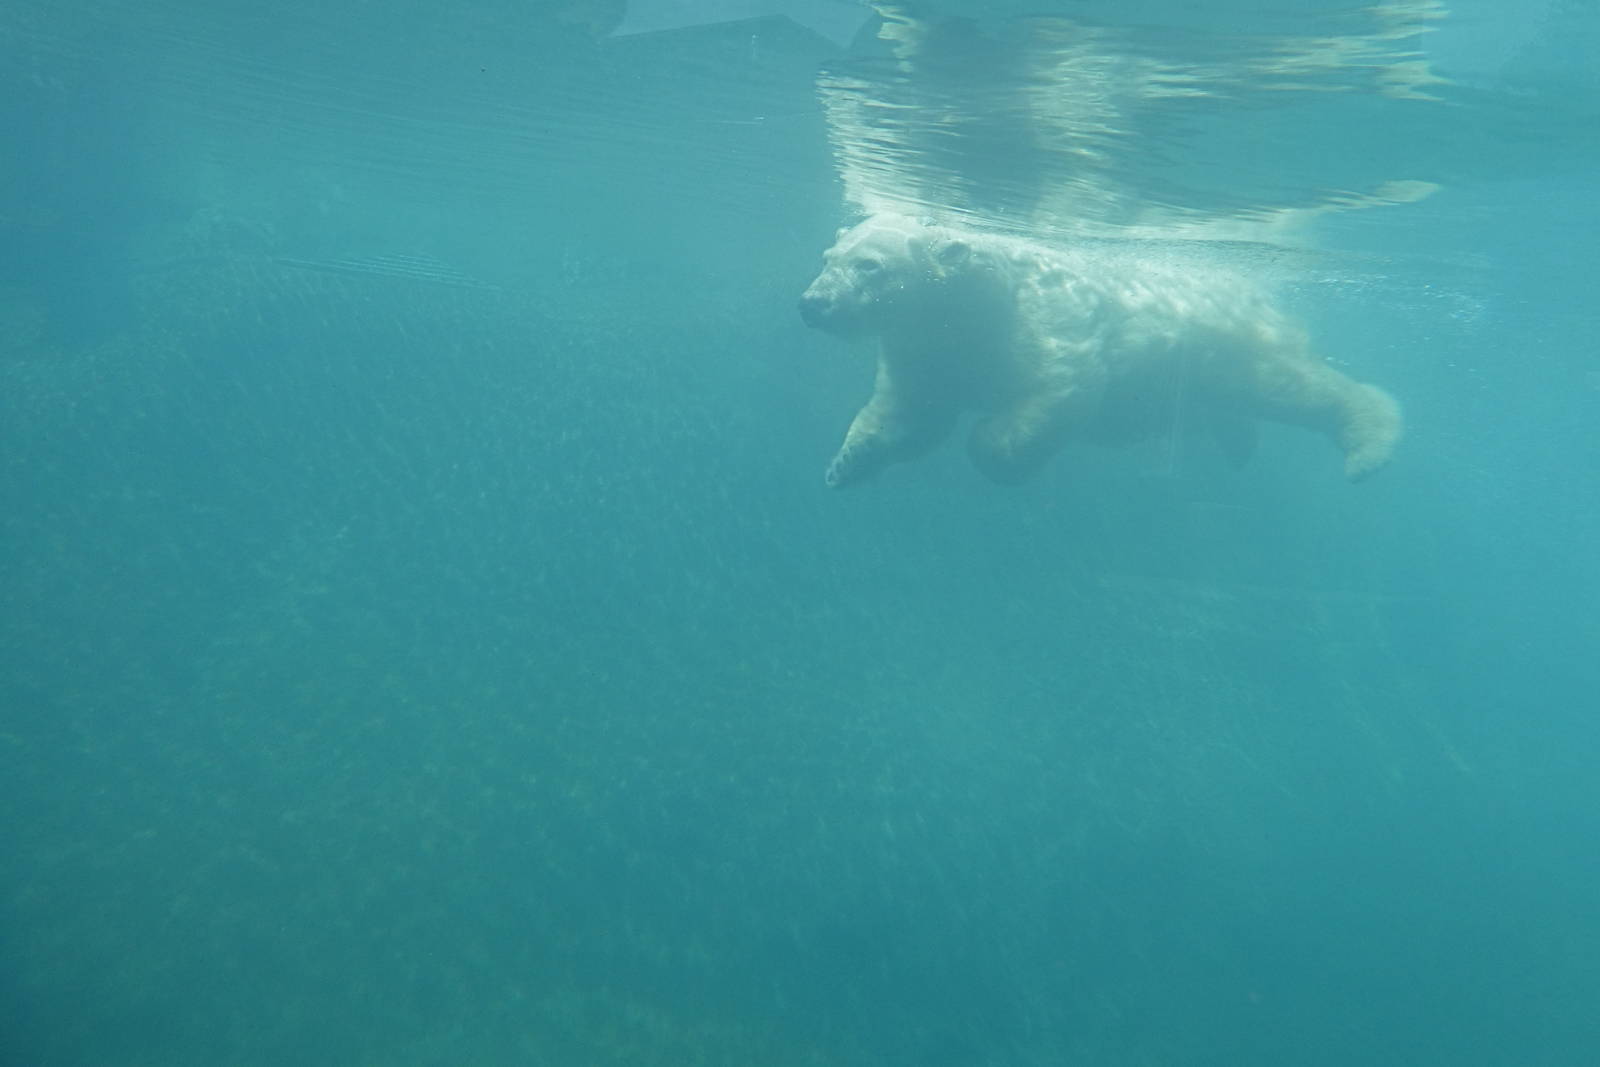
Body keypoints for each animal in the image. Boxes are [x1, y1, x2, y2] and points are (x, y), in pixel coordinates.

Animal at [798, 214, 1402, 489]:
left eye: (870, 265)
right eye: (828, 257)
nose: (813, 304)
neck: (979, 304)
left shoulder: (1047, 319)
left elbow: (1062, 386)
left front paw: (988, 443)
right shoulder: (925, 350)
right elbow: (908, 414)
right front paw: (845, 463)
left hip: (1228, 345)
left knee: (1291, 388)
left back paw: (1369, 446)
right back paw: (1239, 444)